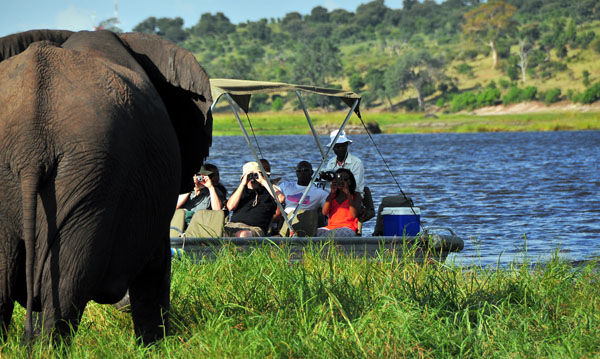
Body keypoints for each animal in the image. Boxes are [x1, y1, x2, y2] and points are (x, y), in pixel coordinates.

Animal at [0, 29, 214, 344]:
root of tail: (31, 138)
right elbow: (157, 268)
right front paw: (155, 346)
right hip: (92, 176)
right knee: (64, 287)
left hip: (82, 175)